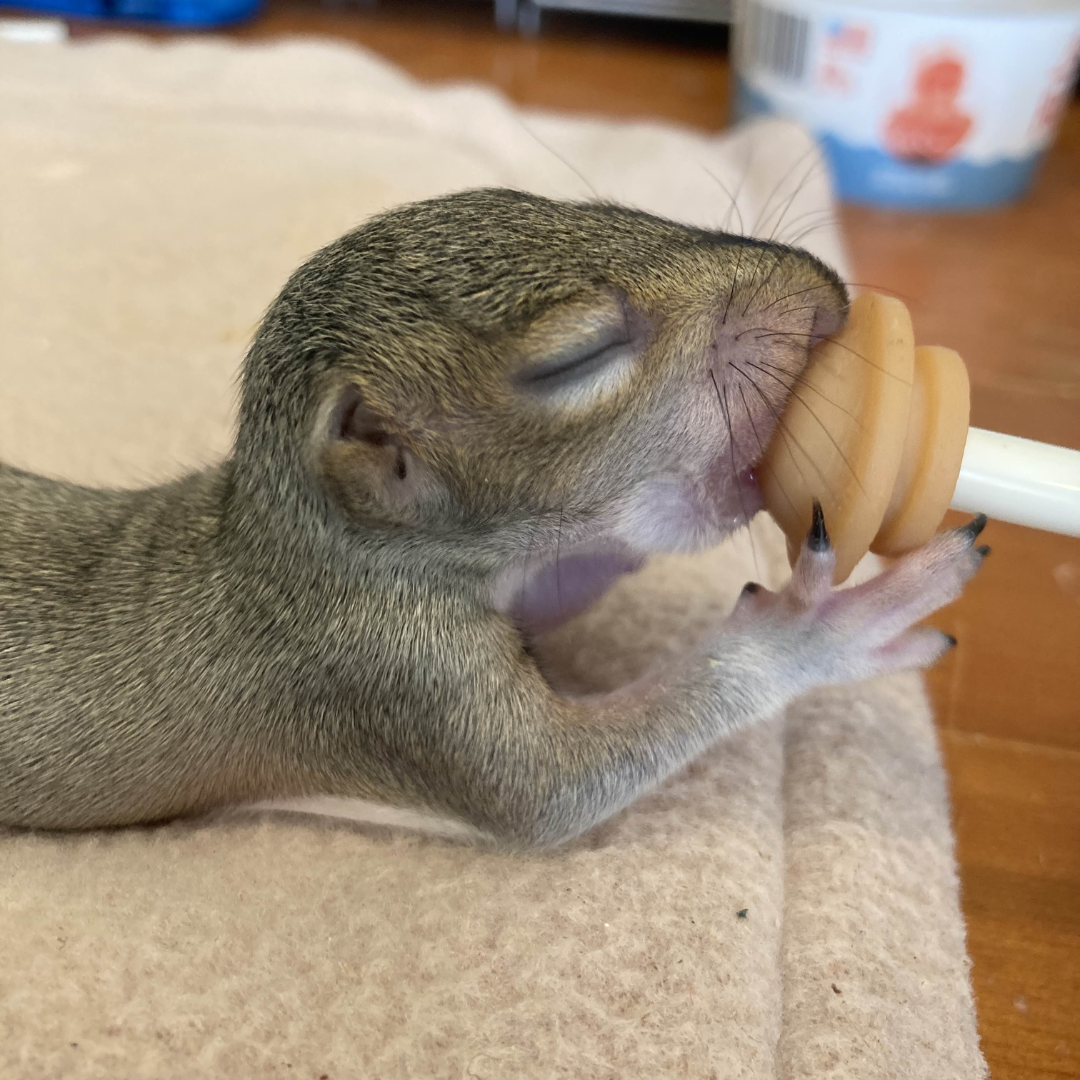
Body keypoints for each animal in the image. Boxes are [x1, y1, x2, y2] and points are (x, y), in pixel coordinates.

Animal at [0, 187, 989, 842]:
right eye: (576, 357)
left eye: (607, 207)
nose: (823, 295)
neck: (298, 546)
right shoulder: (391, 677)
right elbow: (553, 792)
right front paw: (815, 627)